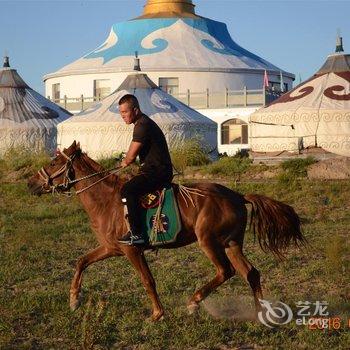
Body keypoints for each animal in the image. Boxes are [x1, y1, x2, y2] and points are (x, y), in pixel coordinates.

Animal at [27, 142, 304, 320]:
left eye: (54, 162)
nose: (31, 183)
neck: (108, 201)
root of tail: (237, 195)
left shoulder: (132, 251)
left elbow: (148, 281)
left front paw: (157, 314)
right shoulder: (111, 248)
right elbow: (81, 262)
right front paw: (74, 298)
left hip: (209, 242)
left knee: (226, 271)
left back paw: (194, 302)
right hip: (231, 243)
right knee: (251, 273)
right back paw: (260, 314)